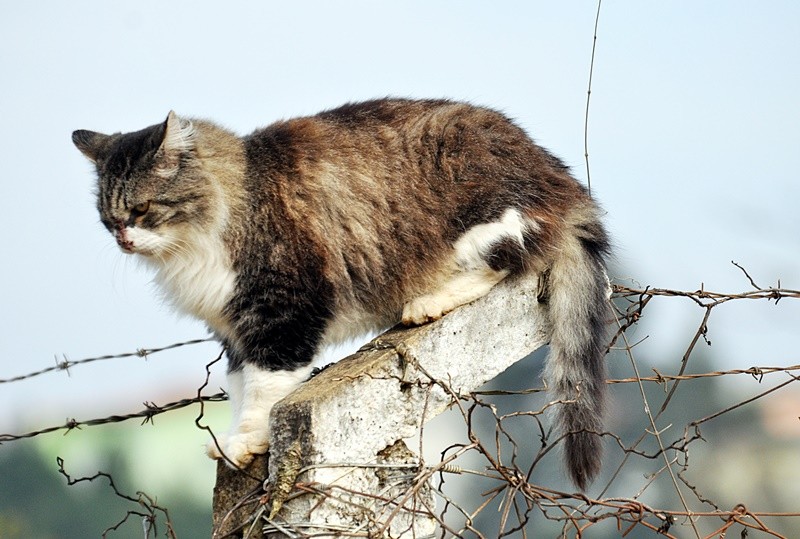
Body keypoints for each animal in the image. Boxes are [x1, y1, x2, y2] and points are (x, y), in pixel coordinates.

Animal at [76, 97, 612, 490]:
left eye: (142, 209)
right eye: (107, 218)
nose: (123, 239)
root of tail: (566, 184)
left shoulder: (283, 309)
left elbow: (264, 388)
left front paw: (248, 439)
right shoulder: (233, 330)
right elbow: (239, 385)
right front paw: (235, 438)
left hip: (481, 213)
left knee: (501, 263)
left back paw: (426, 302)